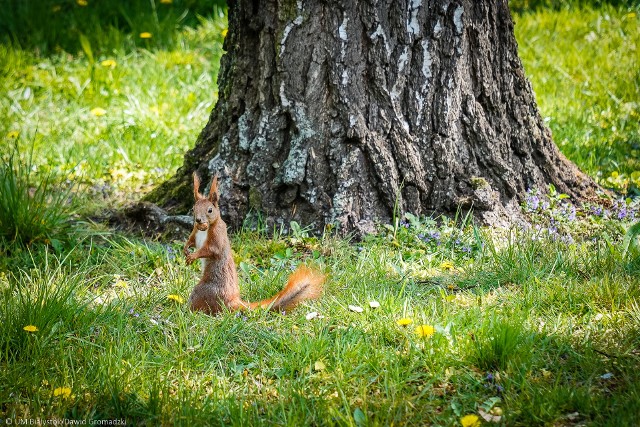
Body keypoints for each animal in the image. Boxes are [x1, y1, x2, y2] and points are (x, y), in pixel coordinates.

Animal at [184, 172, 324, 316]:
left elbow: (211, 250)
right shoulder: (195, 232)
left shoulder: (218, 235)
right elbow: (191, 241)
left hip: (203, 291)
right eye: (193, 208)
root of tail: (232, 301)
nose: (198, 219)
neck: (204, 229)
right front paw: (186, 249)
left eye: (210, 210)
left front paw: (193, 256)